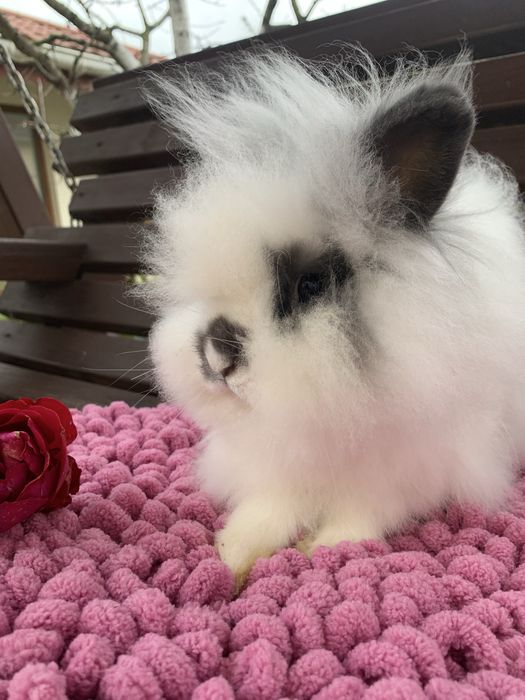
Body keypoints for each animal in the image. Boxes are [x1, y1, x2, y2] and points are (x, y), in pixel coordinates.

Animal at [142, 49, 525, 583]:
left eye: (312, 285)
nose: (216, 355)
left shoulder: (401, 468)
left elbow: (362, 509)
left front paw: (326, 548)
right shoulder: (278, 464)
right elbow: (270, 506)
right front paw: (234, 553)